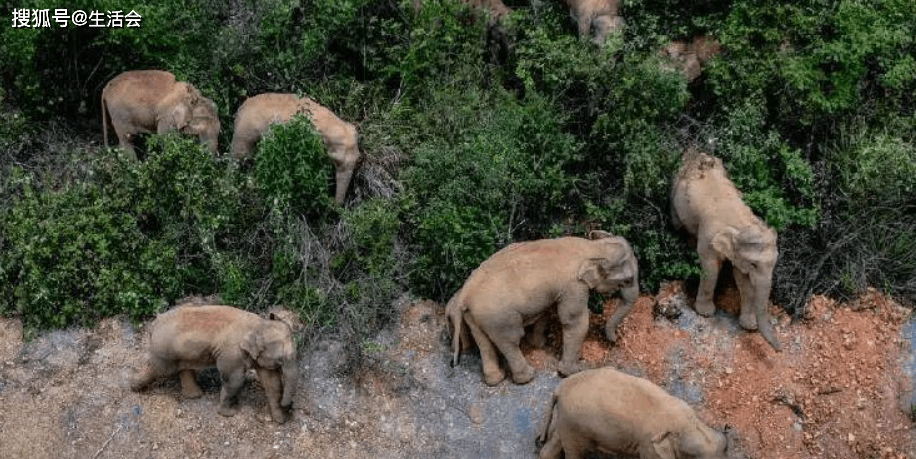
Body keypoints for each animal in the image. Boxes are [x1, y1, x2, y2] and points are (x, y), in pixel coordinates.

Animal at [129, 306, 298, 424]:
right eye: (281, 359)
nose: (289, 407)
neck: (258, 324)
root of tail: (154, 324)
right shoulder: (231, 353)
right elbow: (235, 380)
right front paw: (228, 413)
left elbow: (272, 383)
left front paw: (279, 419)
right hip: (164, 350)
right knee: (159, 369)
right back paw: (133, 386)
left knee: (183, 367)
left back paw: (195, 395)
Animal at [229, 93, 362, 205]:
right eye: (336, 162)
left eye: (358, 161)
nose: (334, 203)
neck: (331, 122)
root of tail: (240, 109)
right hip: (244, 133)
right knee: (238, 159)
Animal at [448, 232, 640, 386]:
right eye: (628, 280)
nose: (614, 341)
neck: (592, 247)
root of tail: (465, 293)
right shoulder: (573, 286)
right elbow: (575, 321)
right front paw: (573, 372)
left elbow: (546, 311)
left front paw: (539, 344)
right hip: (498, 317)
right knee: (511, 340)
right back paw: (527, 377)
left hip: (475, 316)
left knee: (484, 342)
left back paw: (495, 380)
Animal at [536, 366, 728, 459]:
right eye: (693, 456)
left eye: (725, 448)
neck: (687, 423)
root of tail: (561, 387)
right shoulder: (649, 447)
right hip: (576, 426)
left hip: (567, 421)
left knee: (554, 443)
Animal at [668, 149, 784, 350]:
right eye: (754, 265)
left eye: (774, 264)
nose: (779, 350)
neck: (741, 223)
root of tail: (695, 154)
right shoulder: (708, 236)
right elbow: (711, 268)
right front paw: (705, 313)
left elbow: (743, 280)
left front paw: (749, 326)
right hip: (675, 192)